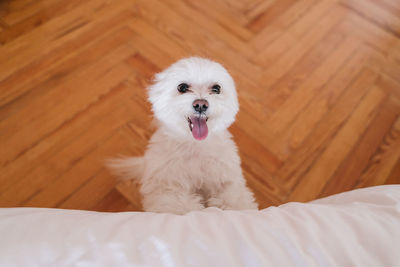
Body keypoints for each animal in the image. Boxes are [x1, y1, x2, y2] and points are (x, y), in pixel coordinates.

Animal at [109, 57, 258, 216]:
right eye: (182, 87)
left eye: (216, 88)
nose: (201, 104)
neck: (194, 145)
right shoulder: (167, 186)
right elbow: (179, 207)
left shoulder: (226, 180)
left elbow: (233, 199)